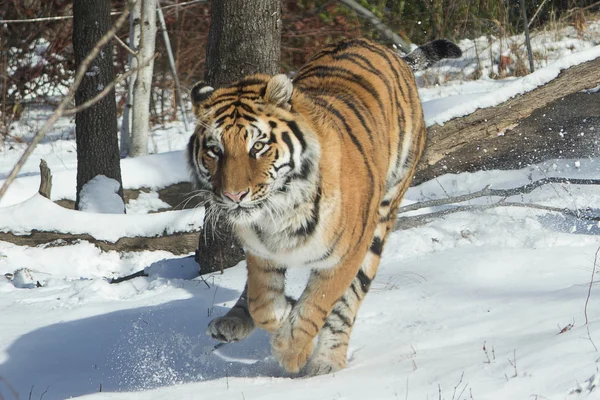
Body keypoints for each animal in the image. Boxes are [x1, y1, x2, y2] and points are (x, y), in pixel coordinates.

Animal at [186, 37, 460, 376]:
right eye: (214, 150)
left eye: (258, 146)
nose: (234, 195)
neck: (281, 210)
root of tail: (385, 50)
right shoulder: (261, 251)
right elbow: (262, 303)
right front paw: (281, 314)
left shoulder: (346, 254)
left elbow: (318, 304)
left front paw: (292, 351)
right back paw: (233, 322)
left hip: (383, 217)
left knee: (348, 302)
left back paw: (326, 362)